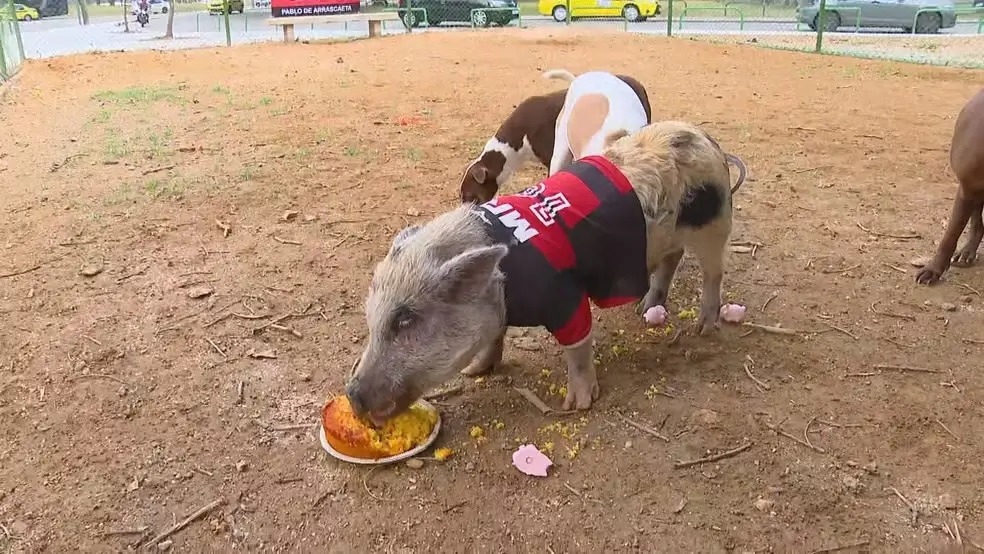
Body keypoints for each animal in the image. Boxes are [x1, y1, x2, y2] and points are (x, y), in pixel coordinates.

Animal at [346, 119, 736, 422]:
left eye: (405, 321)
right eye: (371, 320)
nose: (352, 394)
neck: (503, 282)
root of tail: (704, 137)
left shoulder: (564, 297)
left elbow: (578, 347)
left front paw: (576, 406)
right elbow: (495, 339)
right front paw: (476, 372)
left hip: (715, 224)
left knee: (713, 273)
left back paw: (704, 327)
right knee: (673, 257)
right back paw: (646, 309)